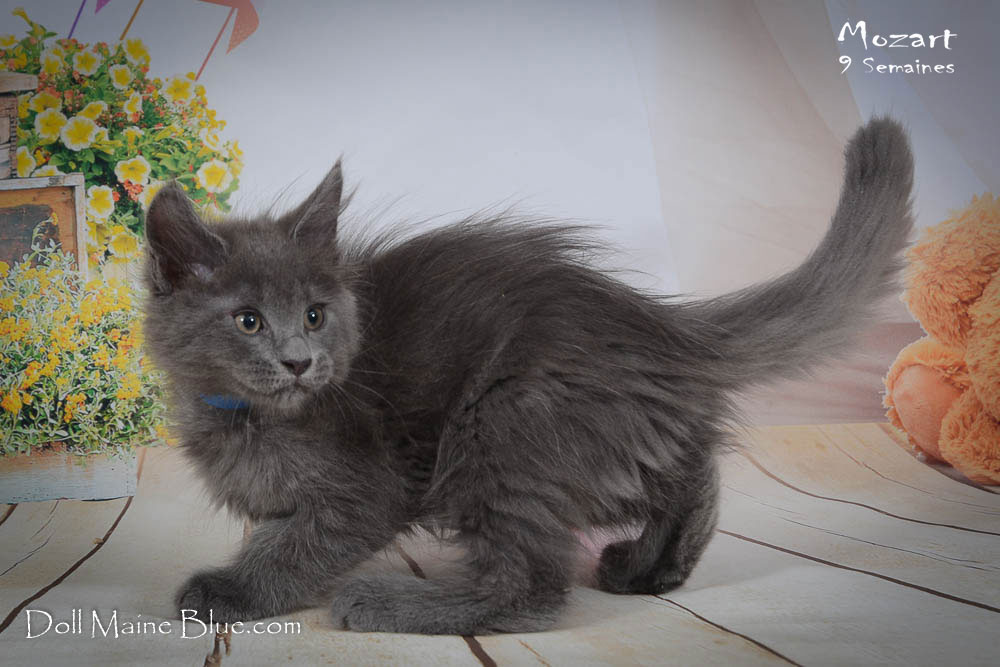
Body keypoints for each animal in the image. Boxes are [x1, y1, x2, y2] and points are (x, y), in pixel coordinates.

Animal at [143, 117, 913, 634]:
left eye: (313, 314)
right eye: (248, 321)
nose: (300, 361)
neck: (245, 415)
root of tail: (660, 327)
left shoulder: (369, 484)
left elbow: (299, 545)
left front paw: (232, 591)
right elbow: (281, 532)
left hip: (503, 425)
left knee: (532, 586)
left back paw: (394, 602)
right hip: (597, 439)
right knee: (688, 465)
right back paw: (651, 566)